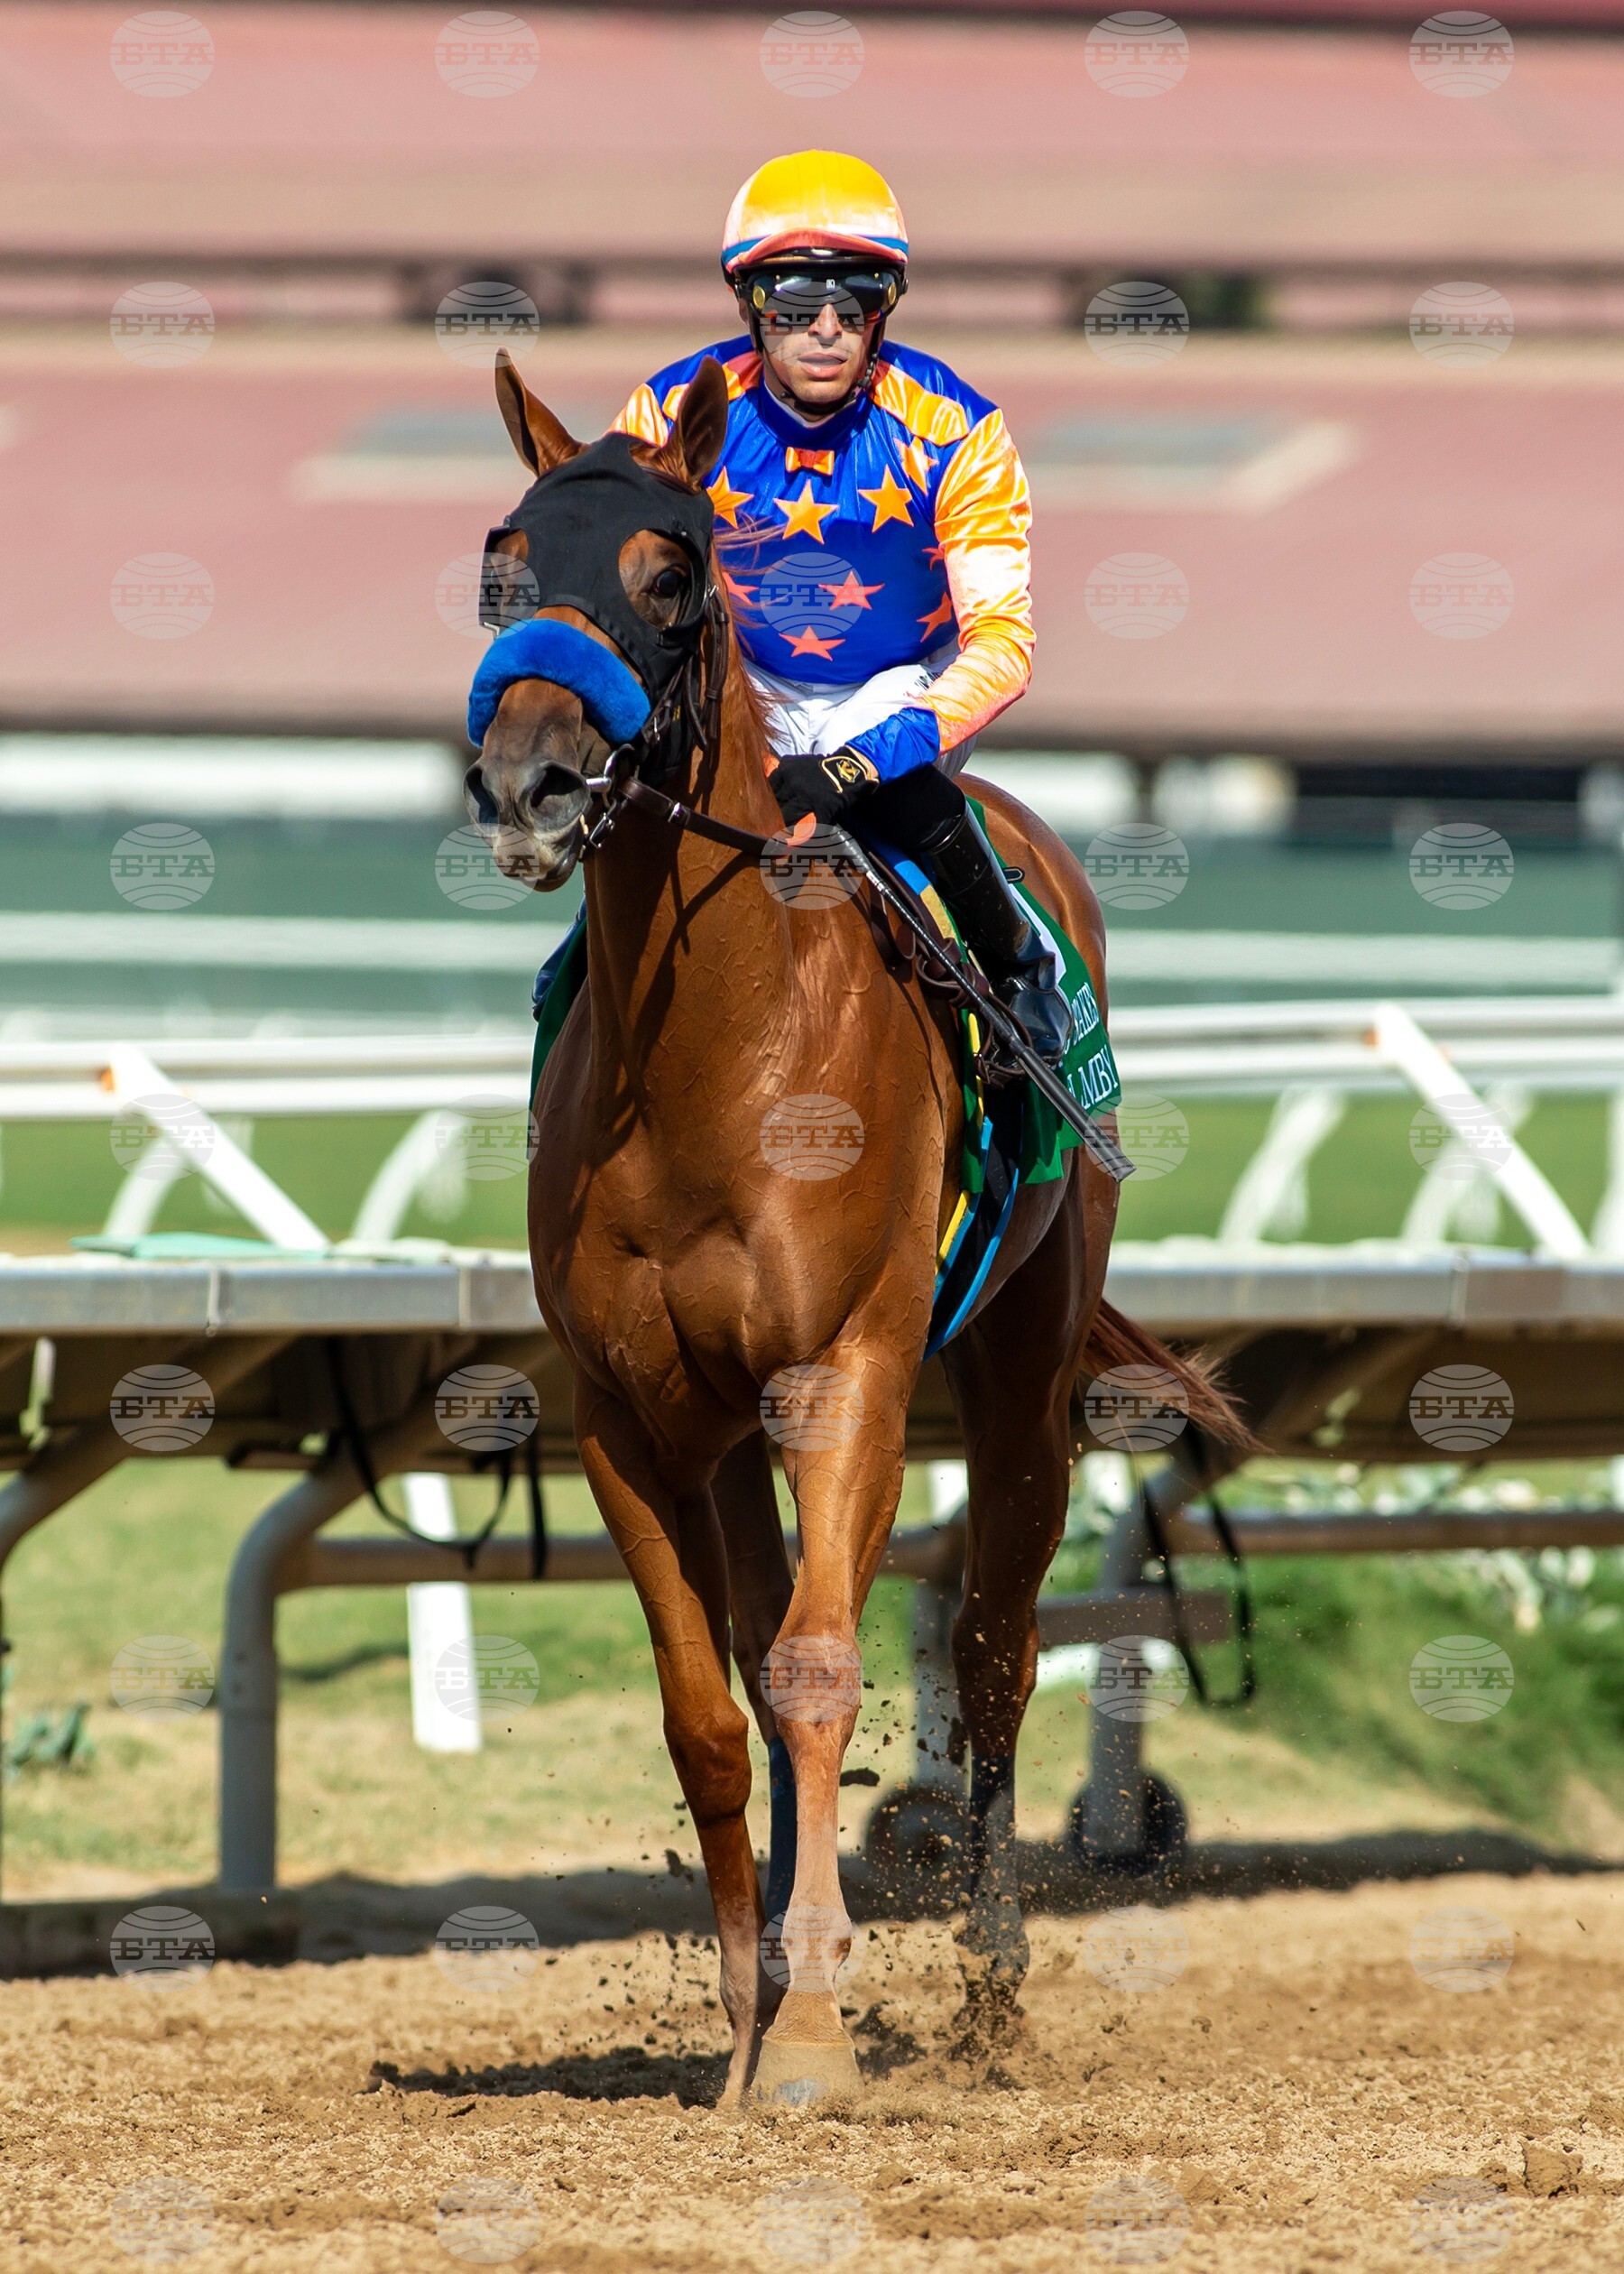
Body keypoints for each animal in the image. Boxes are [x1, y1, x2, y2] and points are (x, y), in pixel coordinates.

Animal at [466, 349, 1243, 2107]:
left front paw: (817, 2037)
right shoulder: (629, 1413)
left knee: (998, 1646)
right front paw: (747, 2031)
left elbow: (823, 1668)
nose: (531, 782)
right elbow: (710, 1705)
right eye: (503, 563)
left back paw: (994, 1987)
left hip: (1021, 1382)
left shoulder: (847, 1376)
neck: (713, 1060)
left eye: (672, 574)